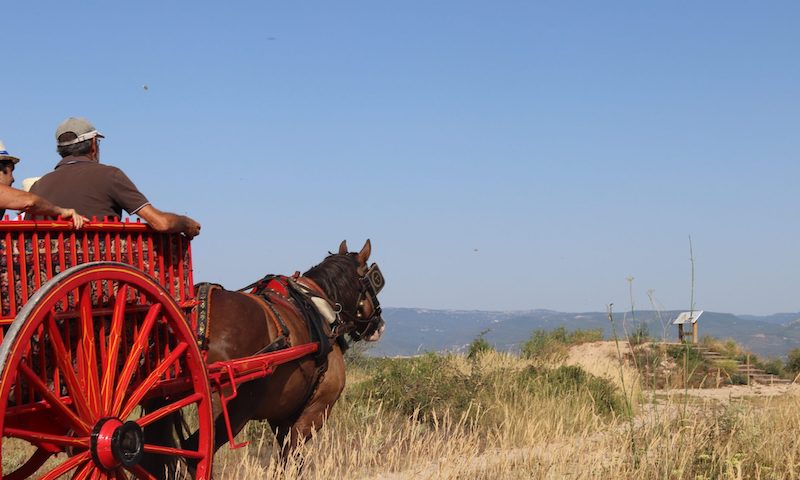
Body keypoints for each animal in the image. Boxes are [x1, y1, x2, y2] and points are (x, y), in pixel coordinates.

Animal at [146, 239, 384, 476]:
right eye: (374, 282)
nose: (379, 325)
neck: (320, 308)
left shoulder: (281, 416)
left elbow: (288, 460)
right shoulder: (315, 411)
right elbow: (293, 460)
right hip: (227, 406)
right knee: (197, 450)